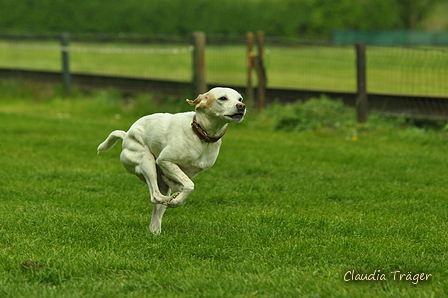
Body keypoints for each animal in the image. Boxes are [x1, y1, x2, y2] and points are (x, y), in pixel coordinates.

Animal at [97, 87, 245, 234]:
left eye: (240, 98)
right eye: (222, 98)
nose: (242, 106)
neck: (201, 135)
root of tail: (126, 135)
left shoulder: (187, 171)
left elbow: (184, 183)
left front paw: (178, 193)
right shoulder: (165, 161)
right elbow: (189, 185)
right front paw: (176, 201)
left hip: (160, 182)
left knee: (157, 211)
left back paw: (156, 230)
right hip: (147, 162)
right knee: (155, 196)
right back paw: (170, 199)